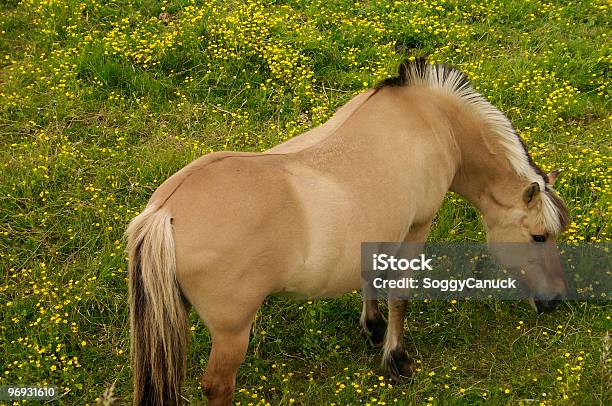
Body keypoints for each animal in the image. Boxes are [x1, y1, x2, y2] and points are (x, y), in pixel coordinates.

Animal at [126, 58, 572, 406]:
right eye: (539, 236)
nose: (555, 300)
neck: (430, 118)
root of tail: (165, 212)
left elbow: (371, 274)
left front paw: (372, 327)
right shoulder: (417, 225)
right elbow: (400, 294)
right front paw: (396, 358)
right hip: (232, 333)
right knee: (218, 385)